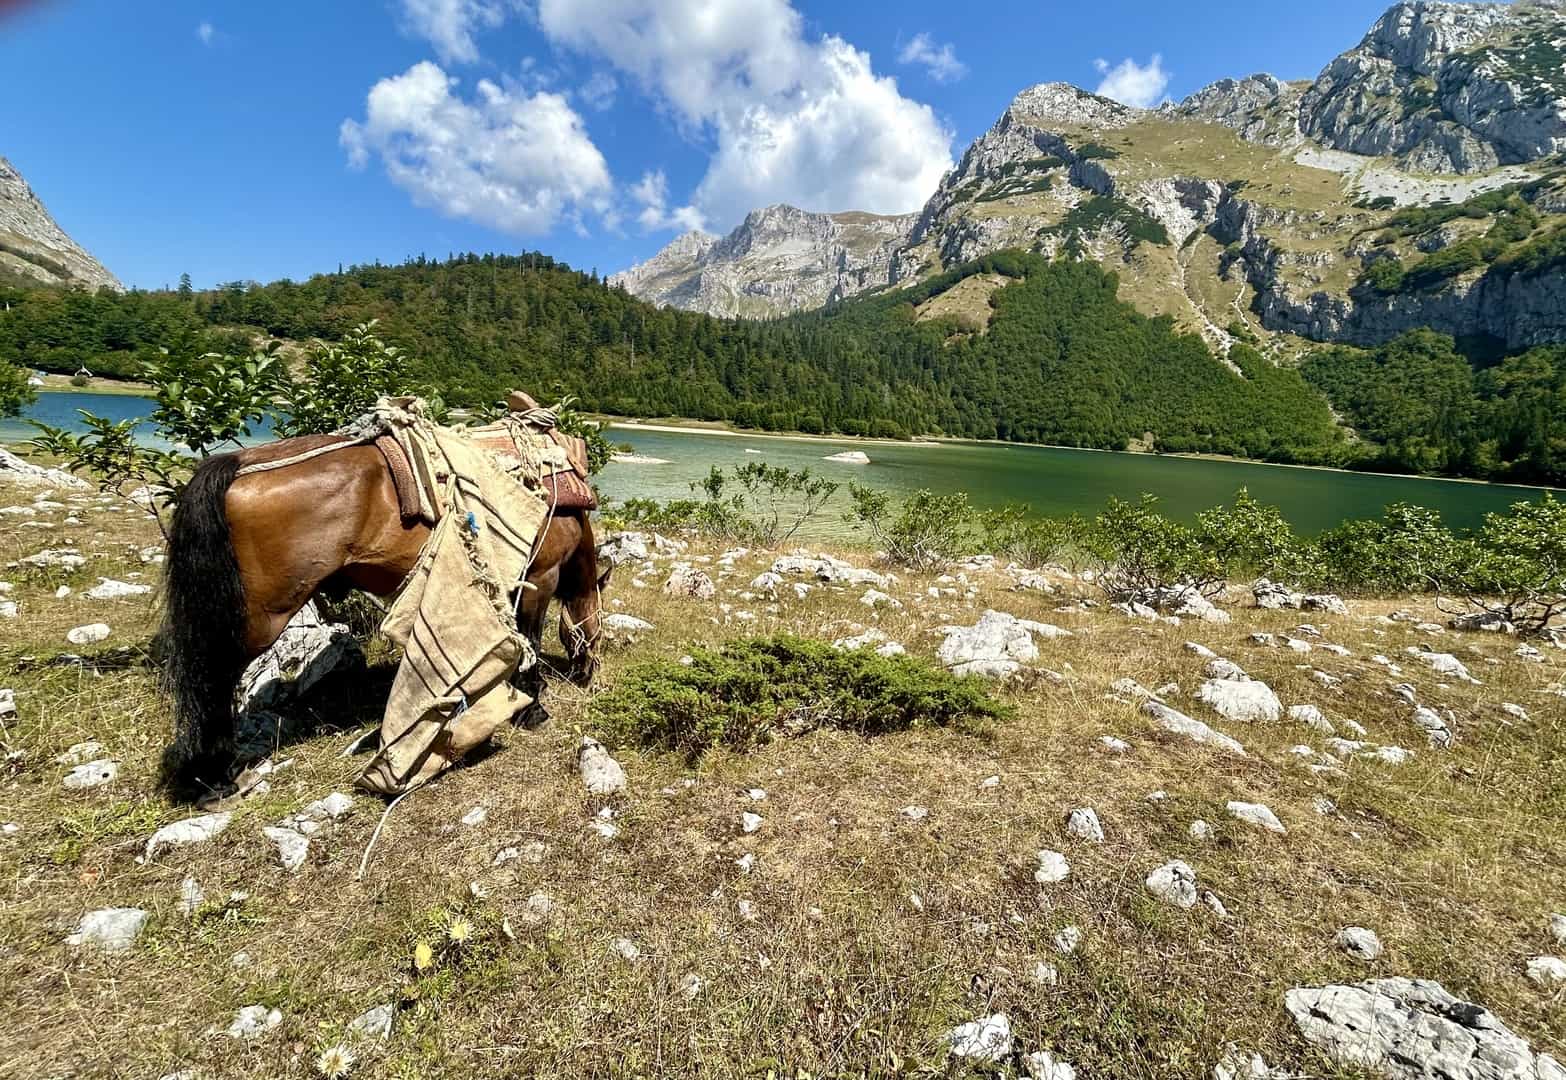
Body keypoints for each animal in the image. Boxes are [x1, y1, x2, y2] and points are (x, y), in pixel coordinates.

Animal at [152, 432, 604, 795]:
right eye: (599, 630)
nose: (586, 673)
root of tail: (237, 466)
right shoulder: (541, 577)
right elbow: (531, 640)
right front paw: (533, 708)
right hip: (263, 615)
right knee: (215, 677)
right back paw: (213, 779)